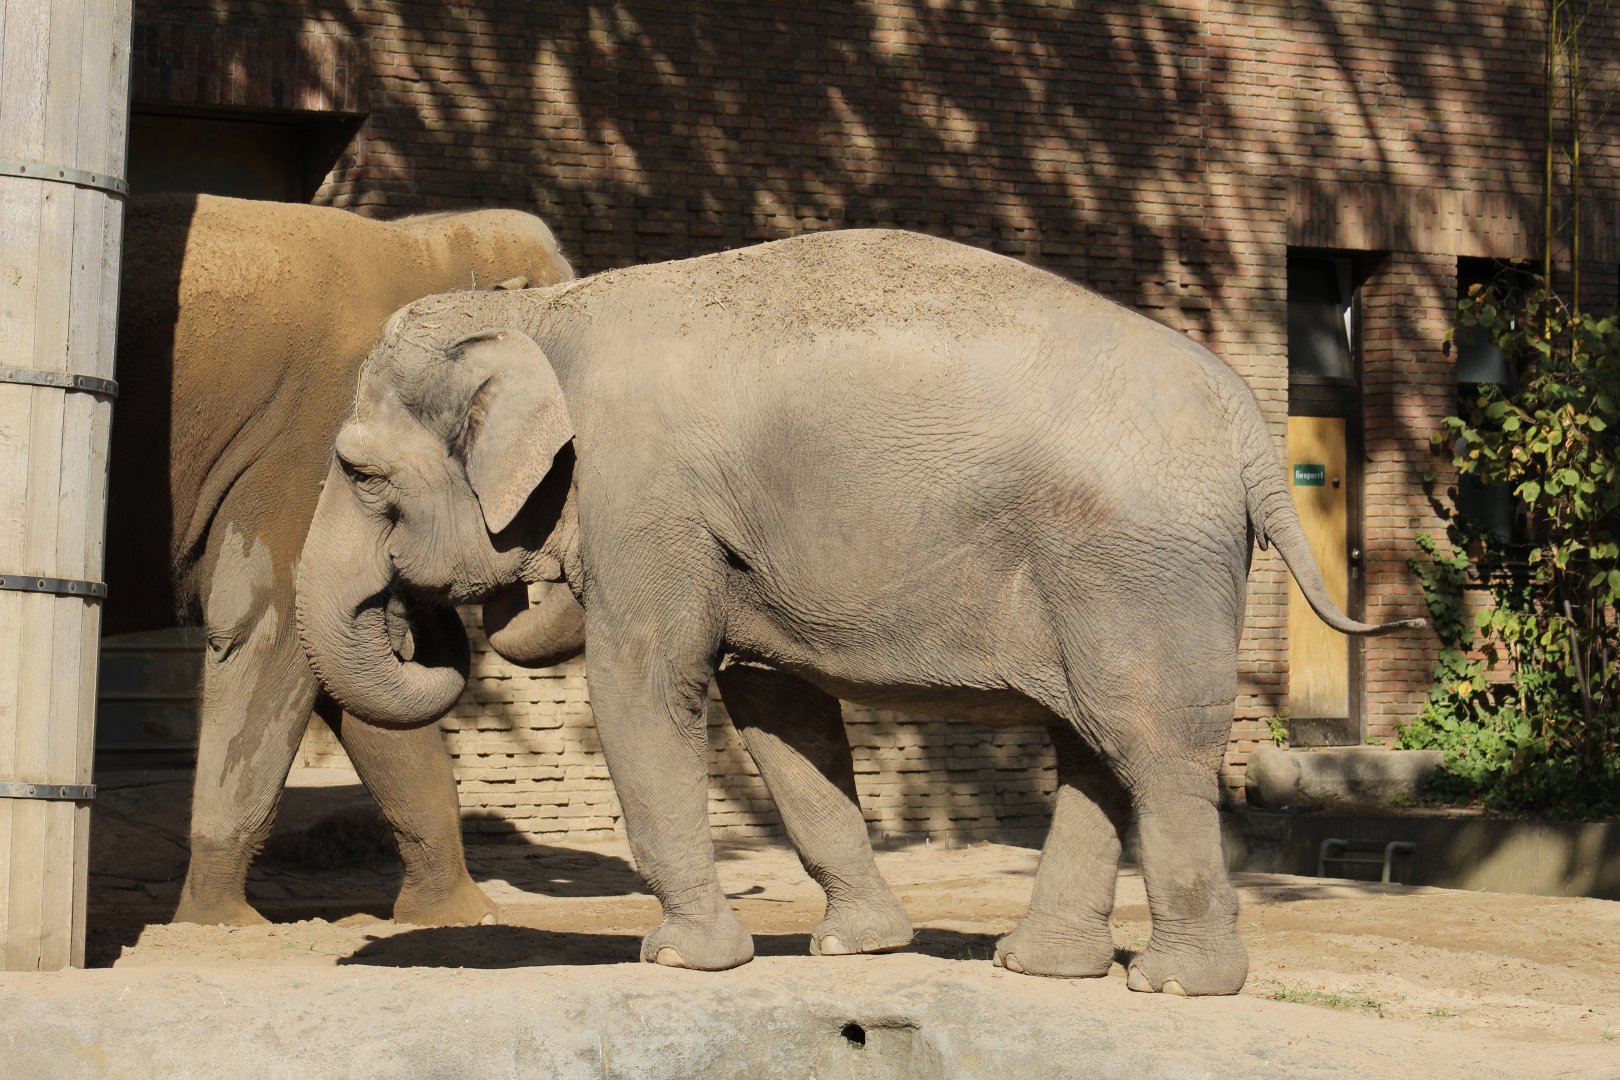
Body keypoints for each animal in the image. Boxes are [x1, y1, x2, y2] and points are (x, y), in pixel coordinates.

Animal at [104, 192, 581, 927]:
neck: (425, 244)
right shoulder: (310, 442)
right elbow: (267, 633)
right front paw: (220, 926)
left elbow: (350, 677)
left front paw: (456, 915)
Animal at [294, 229, 1423, 995]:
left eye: (360, 474)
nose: (424, 611)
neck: (543, 315)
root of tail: (1248, 425)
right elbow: (777, 710)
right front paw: (854, 947)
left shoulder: (648, 502)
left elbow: (643, 686)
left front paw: (683, 960)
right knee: (1096, 744)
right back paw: (1040, 967)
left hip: (1137, 563)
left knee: (1151, 744)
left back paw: (1173, 981)